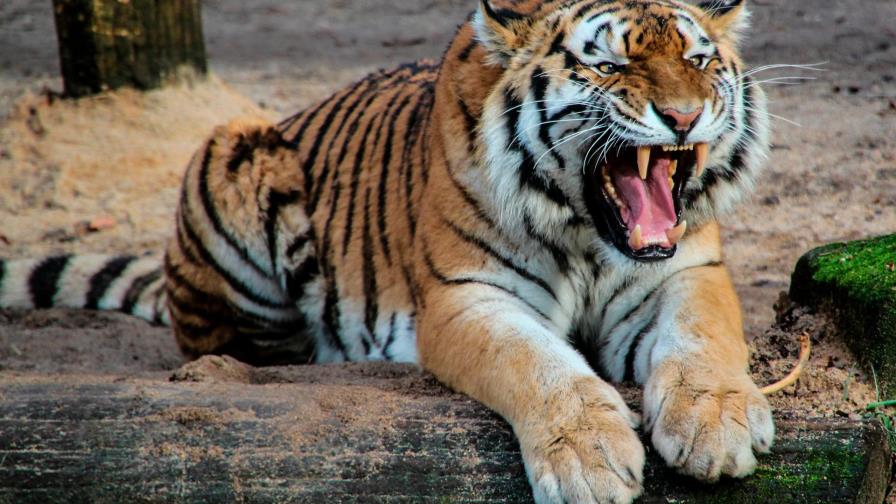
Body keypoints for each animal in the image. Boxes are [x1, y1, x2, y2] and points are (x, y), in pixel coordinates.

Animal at [0, 0, 774, 501]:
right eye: (610, 65)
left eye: (698, 60)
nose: (683, 117)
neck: (587, 232)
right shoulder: (466, 297)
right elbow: (537, 363)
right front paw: (588, 458)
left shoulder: (686, 272)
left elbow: (703, 338)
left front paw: (716, 425)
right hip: (233, 150)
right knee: (229, 345)